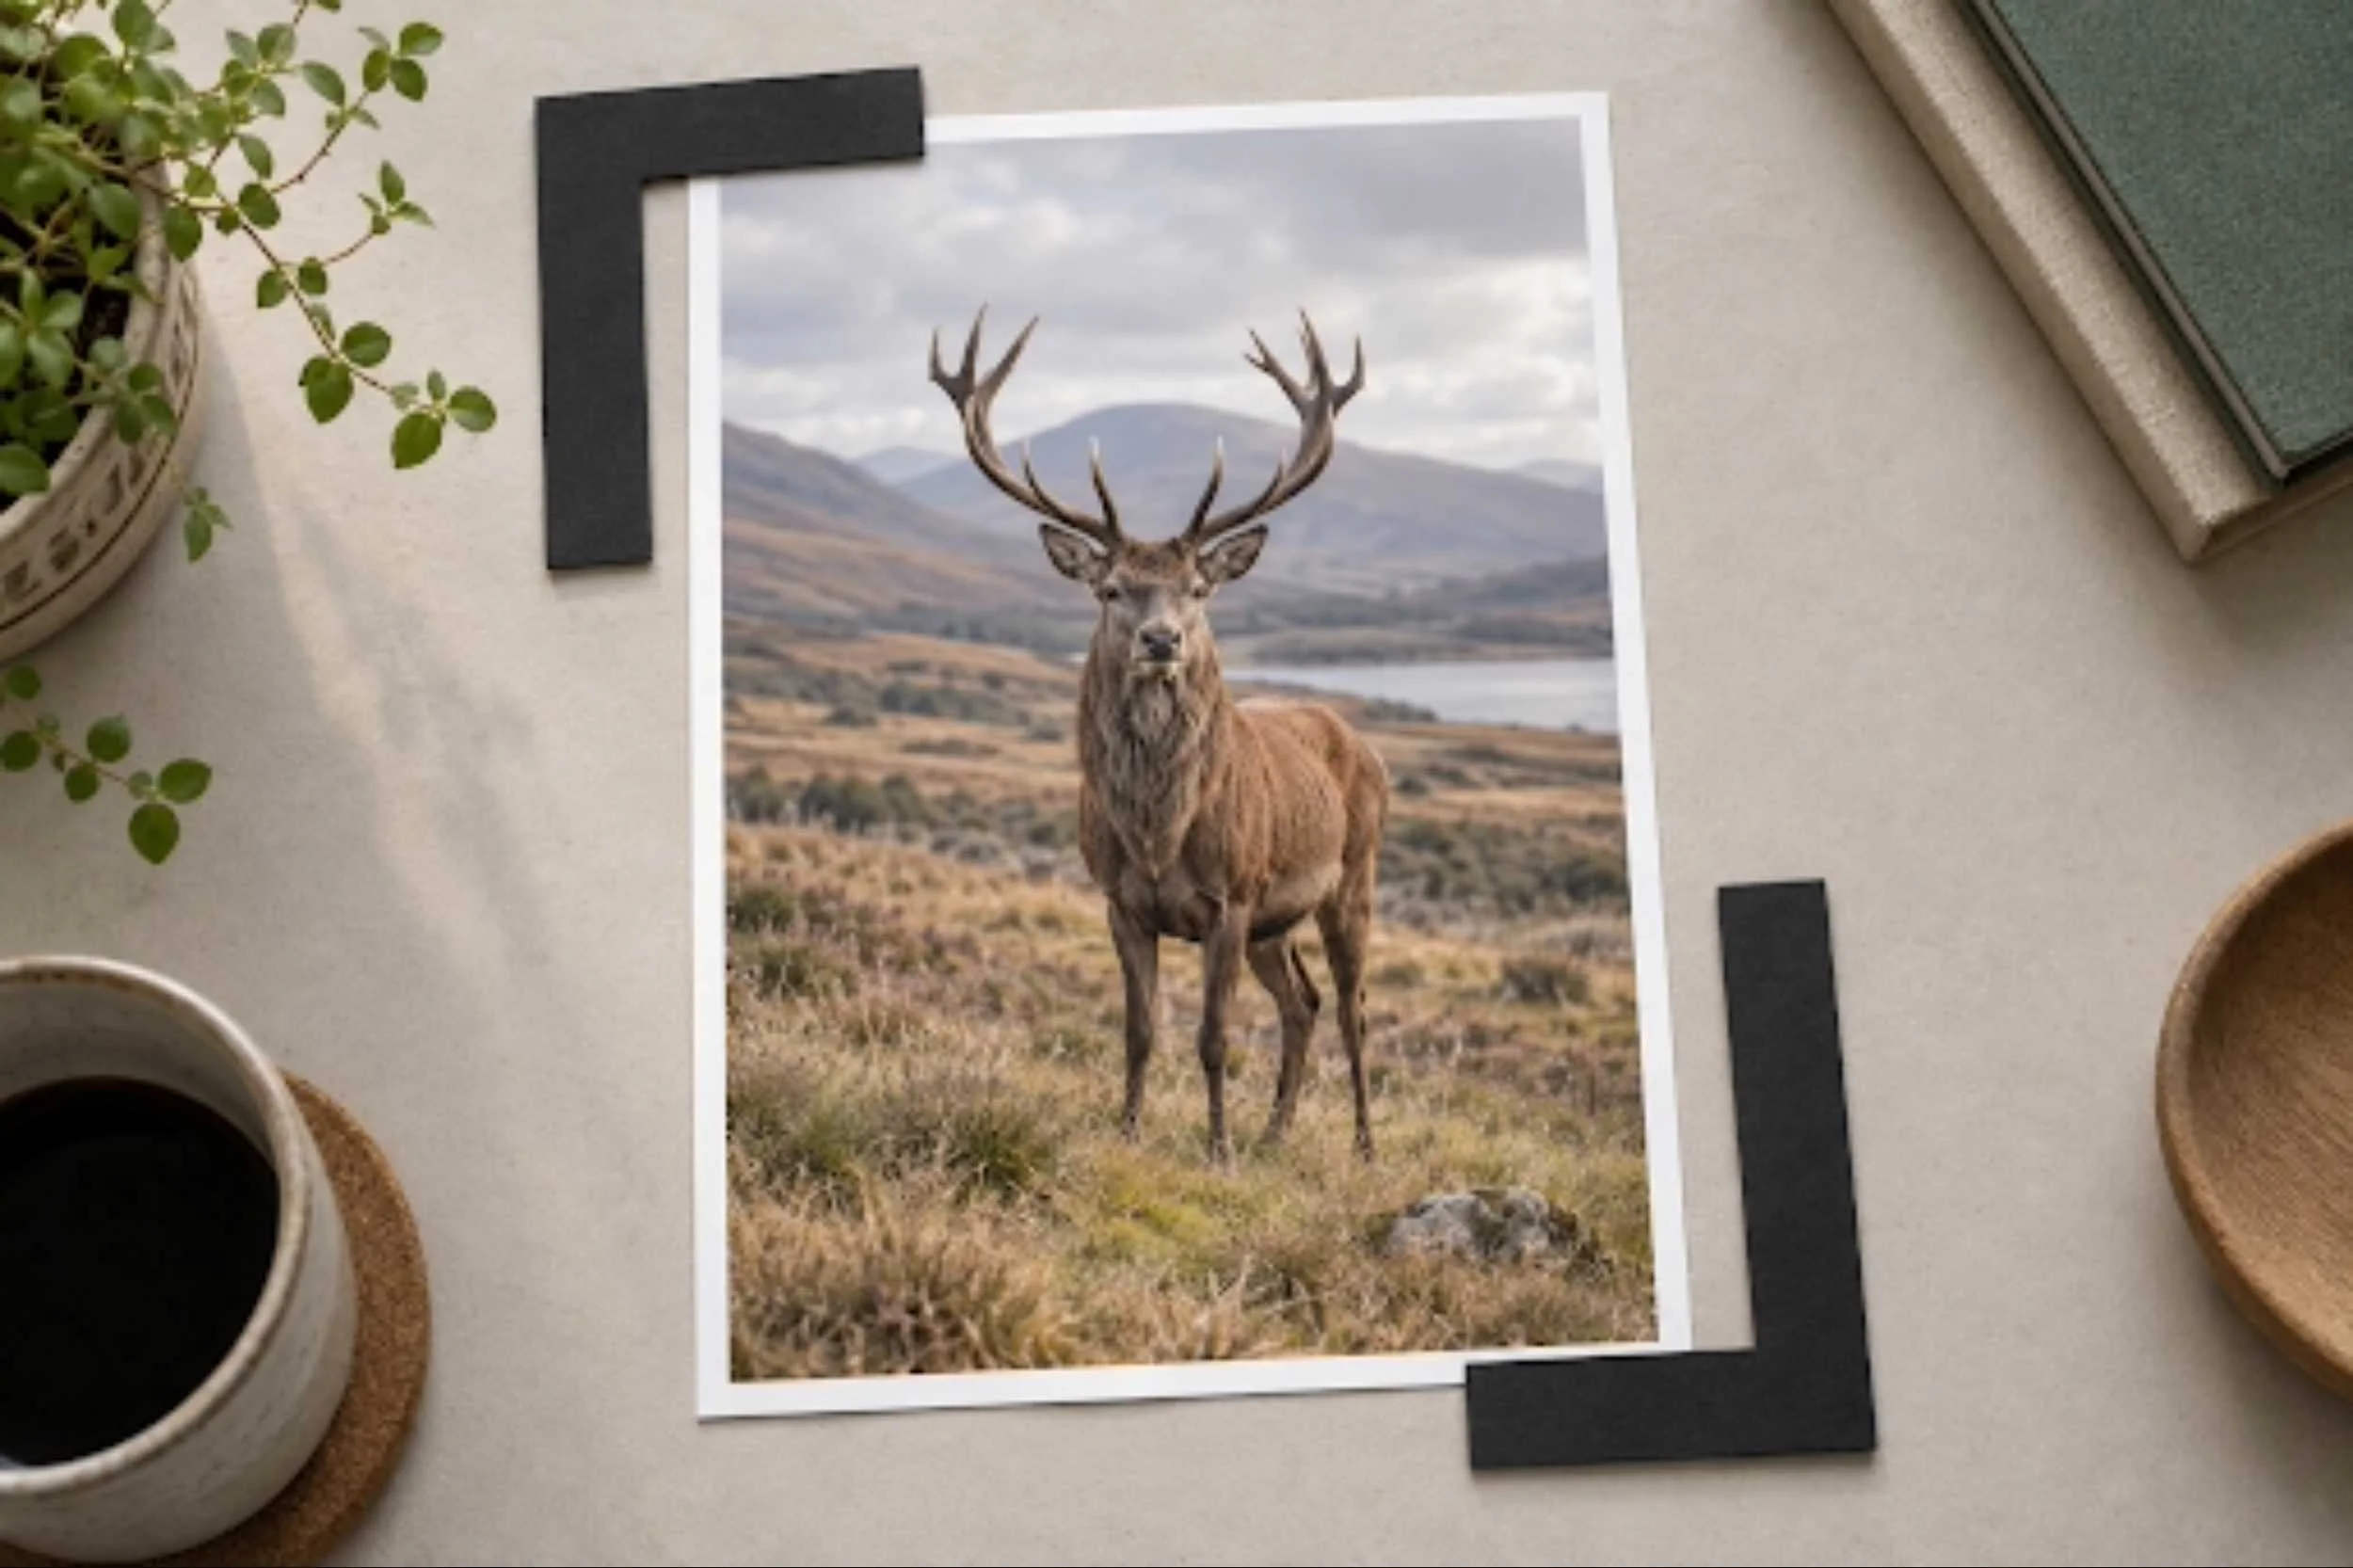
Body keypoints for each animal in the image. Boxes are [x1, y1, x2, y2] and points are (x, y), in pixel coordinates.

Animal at [929, 308, 1391, 1162]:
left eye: (1198, 589)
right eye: (1112, 589)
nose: (1161, 639)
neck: (1157, 831)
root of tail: (1365, 745)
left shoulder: (1231, 898)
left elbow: (1213, 1038)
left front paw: (1219, 1151)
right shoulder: (1120, 901)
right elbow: (1139, 1031)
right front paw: (1129, 1132)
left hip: (1352, 876)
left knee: (1353, 1007)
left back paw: (1364, 1147)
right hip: (1277, 923)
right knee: (1303, 1002)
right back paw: (1276, 1134)